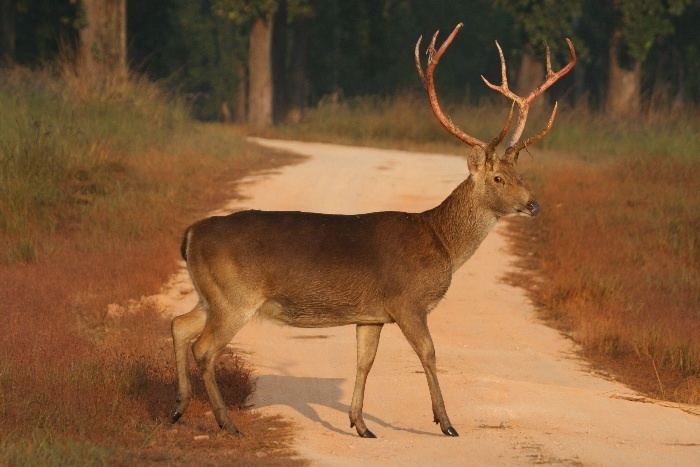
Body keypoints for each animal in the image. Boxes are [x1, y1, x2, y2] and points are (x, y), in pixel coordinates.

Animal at [168, 22, 576, 438]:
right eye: (498, 178)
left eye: (520, 174)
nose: (534, 205)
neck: (441, 241)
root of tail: (190, 235)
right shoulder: (407, 300)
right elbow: (429, 353)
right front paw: (446, 422)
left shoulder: (370, 314)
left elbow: (365, 361)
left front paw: (360, 424)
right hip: (236, 296)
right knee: (203, 346)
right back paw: (225, 421)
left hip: (212, 294)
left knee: (179, 324)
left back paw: (179, 408)